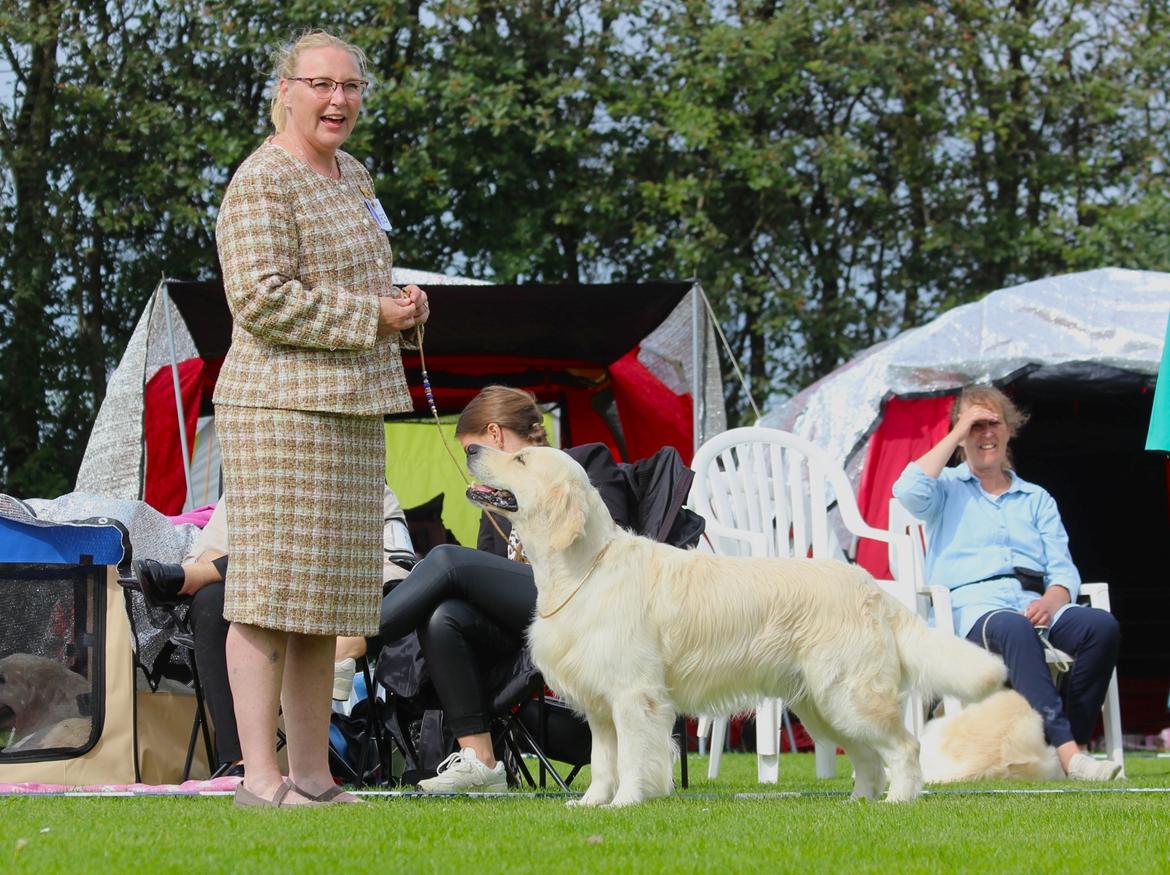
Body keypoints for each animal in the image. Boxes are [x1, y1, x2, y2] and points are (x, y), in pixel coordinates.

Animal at [463, 444, 1006, 804]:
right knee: (869, 757)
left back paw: (899, 800)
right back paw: (859, 802)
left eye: (520, 459)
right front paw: (592, 803)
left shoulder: (635, 696)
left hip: (849, 695)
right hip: (821, 704)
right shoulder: (601, 705)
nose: (470, 446)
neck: (583, 568)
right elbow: (601, 761)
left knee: (906, 746)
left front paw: (626, 803)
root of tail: (871, 589)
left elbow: (635, 758)